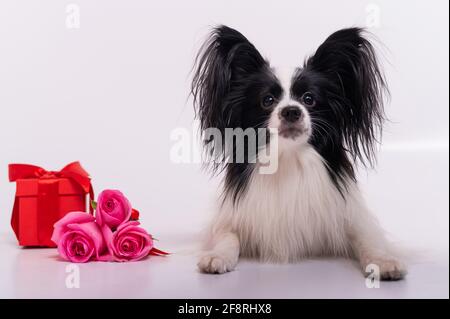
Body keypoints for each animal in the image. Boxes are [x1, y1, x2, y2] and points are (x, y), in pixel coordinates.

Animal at [190, 25, 408, 280]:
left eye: (309, 99)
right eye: (267, 100)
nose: (291, 111)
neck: (289, 158)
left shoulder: (352, 217)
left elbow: (367, 239)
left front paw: (383, 261)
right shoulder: (231, 220)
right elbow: (227, 237)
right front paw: (218, 256)